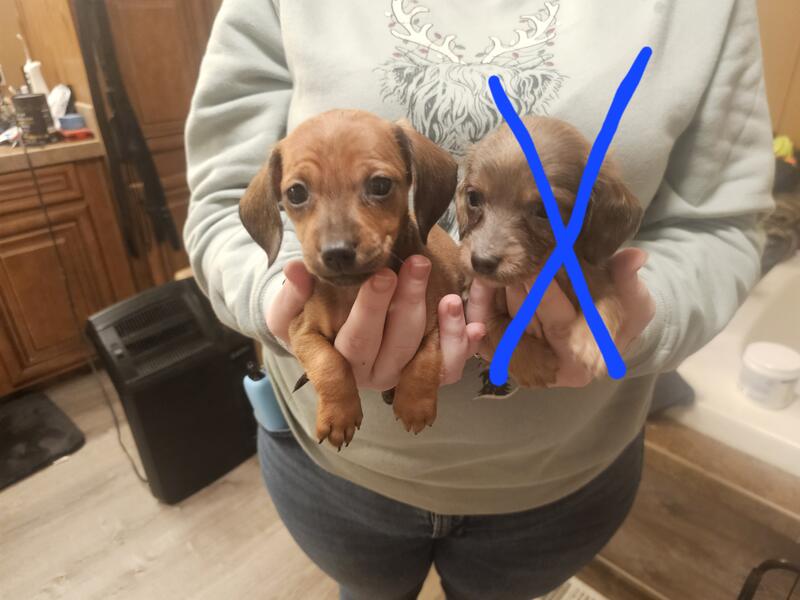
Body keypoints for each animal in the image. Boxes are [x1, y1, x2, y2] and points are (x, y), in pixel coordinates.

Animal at [240, 109, 463, 449]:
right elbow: (328, 362)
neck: (352, 292)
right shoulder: (301, 331)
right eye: (295, 193)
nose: (337, 253)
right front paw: (339, 416)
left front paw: (414, 405)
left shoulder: (439, 317)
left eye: (380, 185)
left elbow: (426, 357)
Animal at [455, 116, 643, 386]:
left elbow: (606, 302)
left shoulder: (599, 279)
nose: (481, 262)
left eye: (543, 211)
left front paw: (590, 342)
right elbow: (493, 323)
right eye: (473, 198)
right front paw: (535, 362)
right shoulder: (473, 303)